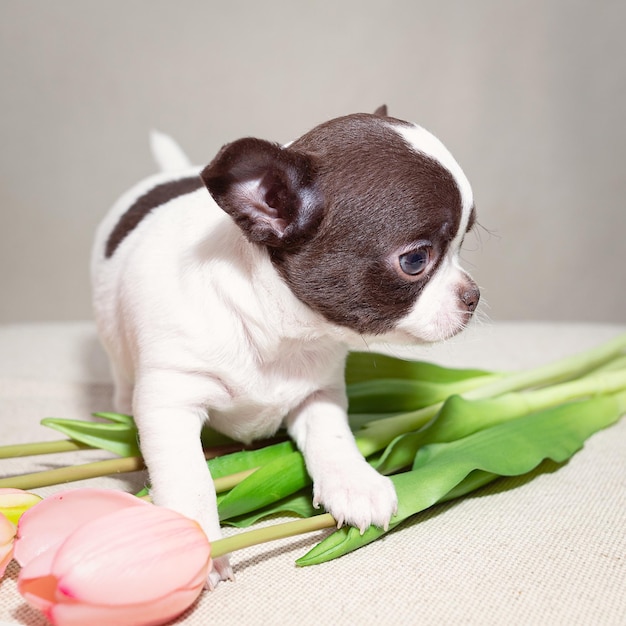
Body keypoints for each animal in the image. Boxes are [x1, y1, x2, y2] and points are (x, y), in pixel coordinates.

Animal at [89, 107, 478, 584]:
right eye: (415, 260)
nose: (474, 296)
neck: (278, 331)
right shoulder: (171, 401)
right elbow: (188, 475)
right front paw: (195, 540)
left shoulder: (318, 392)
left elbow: (333, 435)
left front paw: (355, 482)